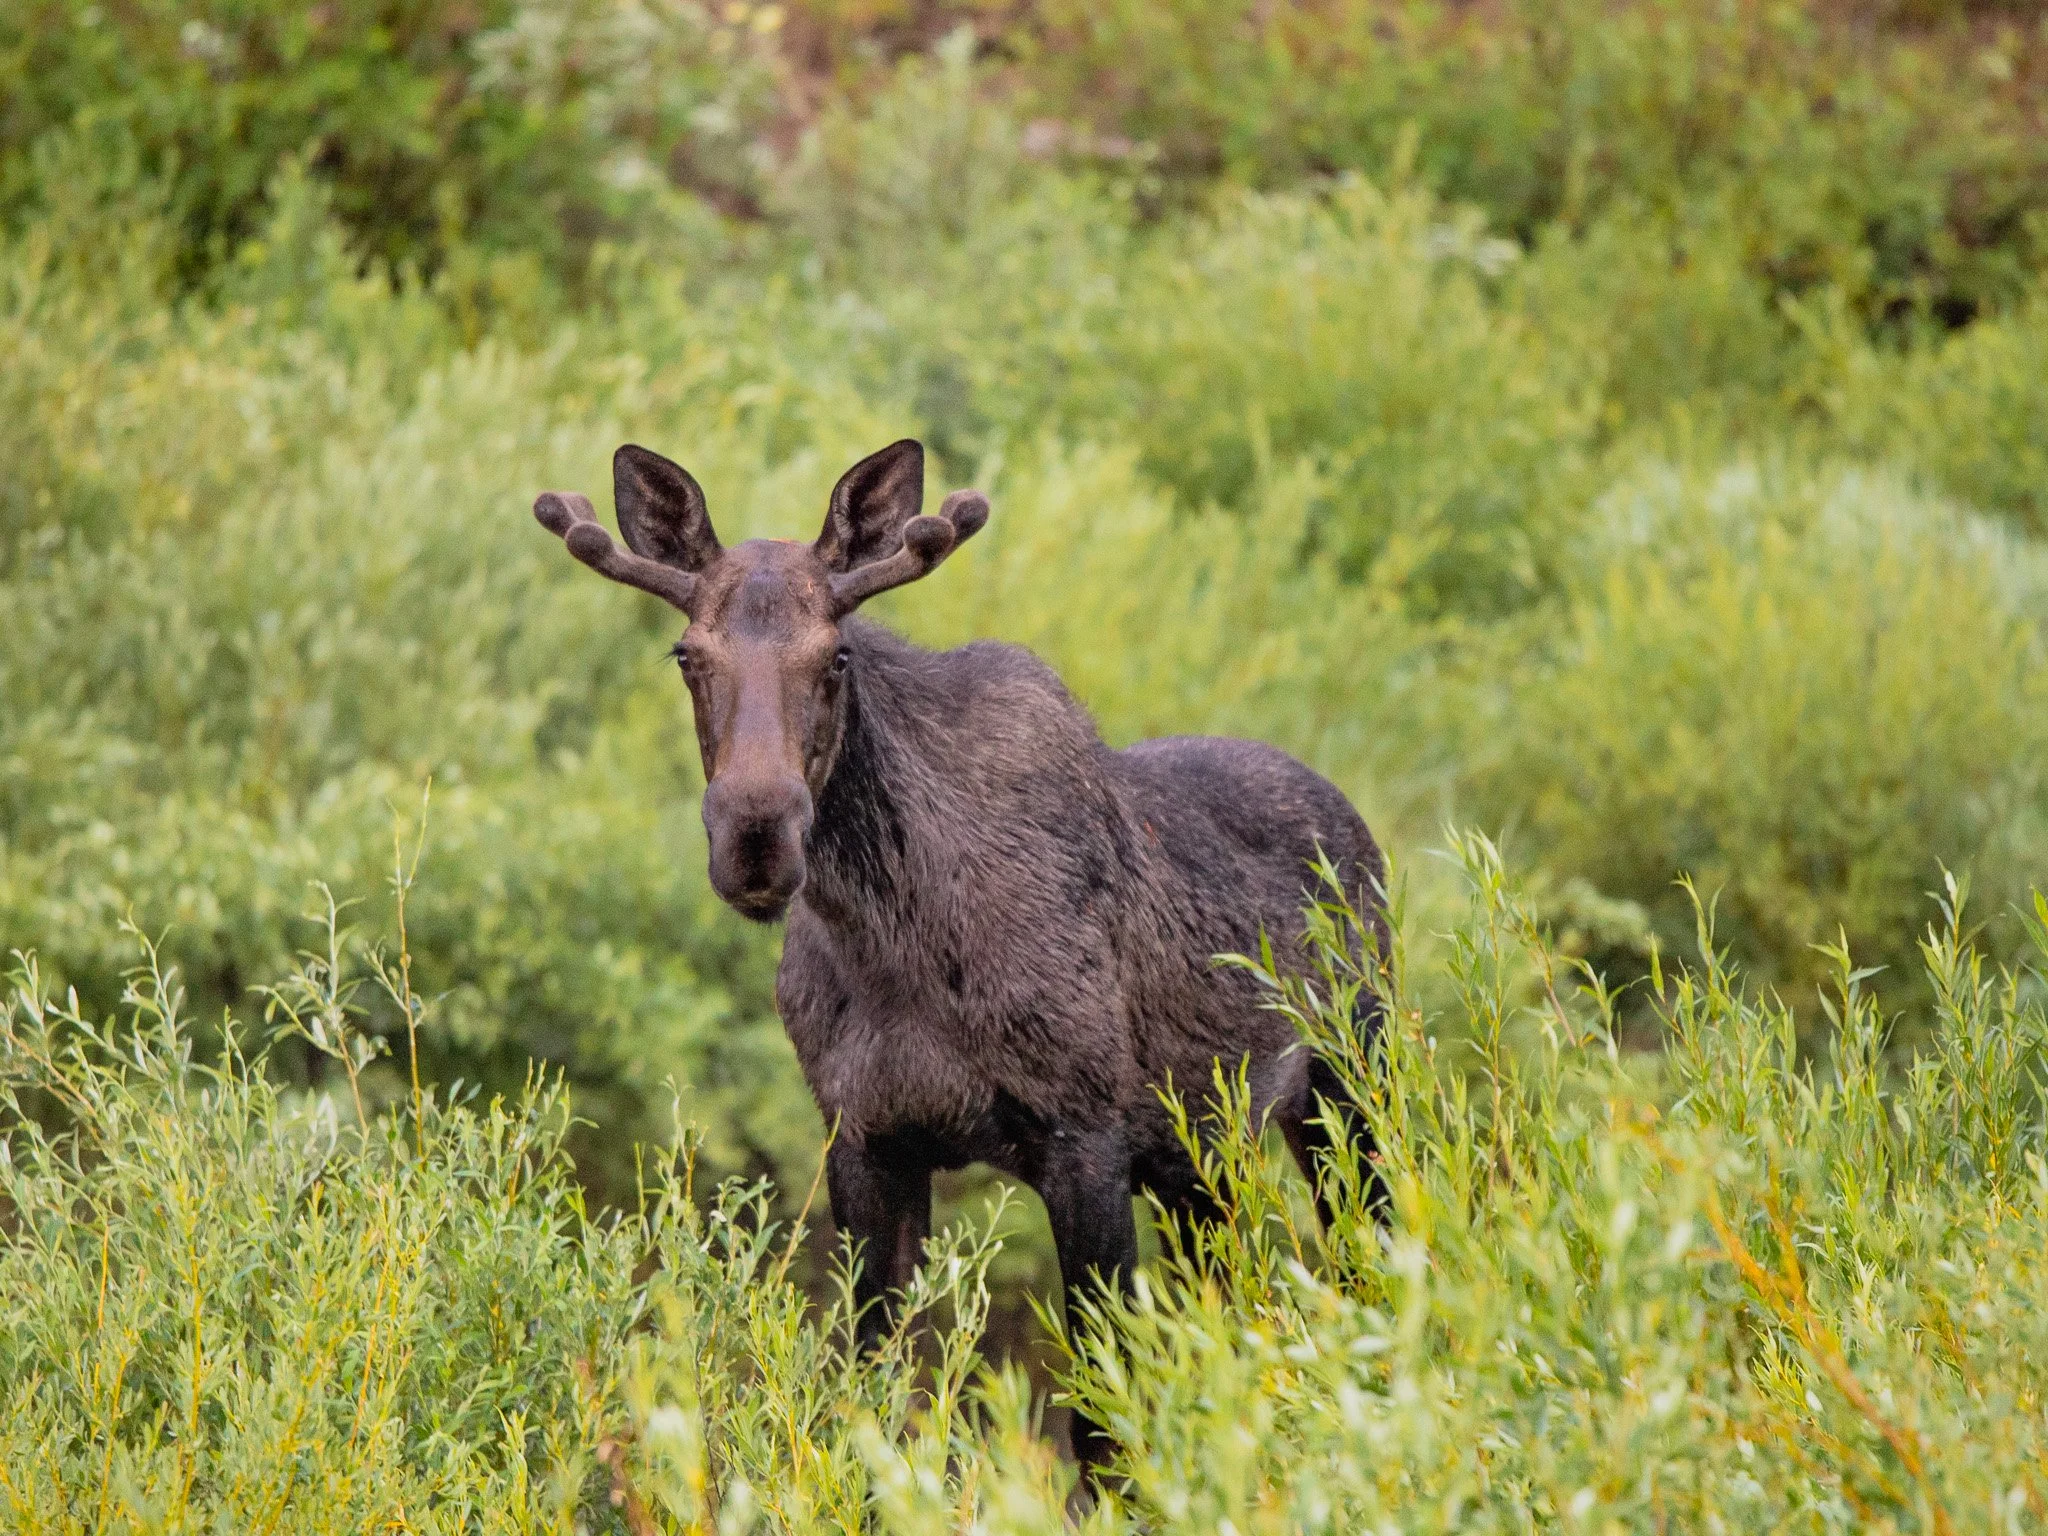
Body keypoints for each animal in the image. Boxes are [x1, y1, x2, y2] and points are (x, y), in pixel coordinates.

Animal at [533, 439, 1390, 1471]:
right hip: (1204, 1160)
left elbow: (1098, 1421)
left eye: (838, 654)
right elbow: (875, 1397)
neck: (891, 941)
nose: (755, 836)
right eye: (687, 655)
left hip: (1353, 1084)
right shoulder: (866, 1139)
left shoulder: (1085, 1134)